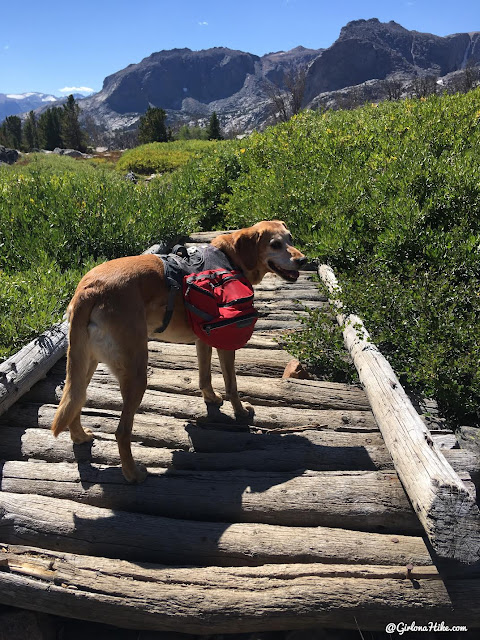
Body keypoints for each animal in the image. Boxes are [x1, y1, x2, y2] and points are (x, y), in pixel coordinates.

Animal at [51, 219, 308, 480]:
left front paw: (211, 398)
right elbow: (232, 385)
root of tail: (88, 290)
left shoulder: (203, 339)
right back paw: (133, 474)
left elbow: (205, 376)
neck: (231, 258)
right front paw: (241, 413)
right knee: (121, 431)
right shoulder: (226, 343)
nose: (303, 260)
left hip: (85, 364)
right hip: (135, 373)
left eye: (290, 238)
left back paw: (80, 436)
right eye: (275, 244)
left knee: (74, 401)